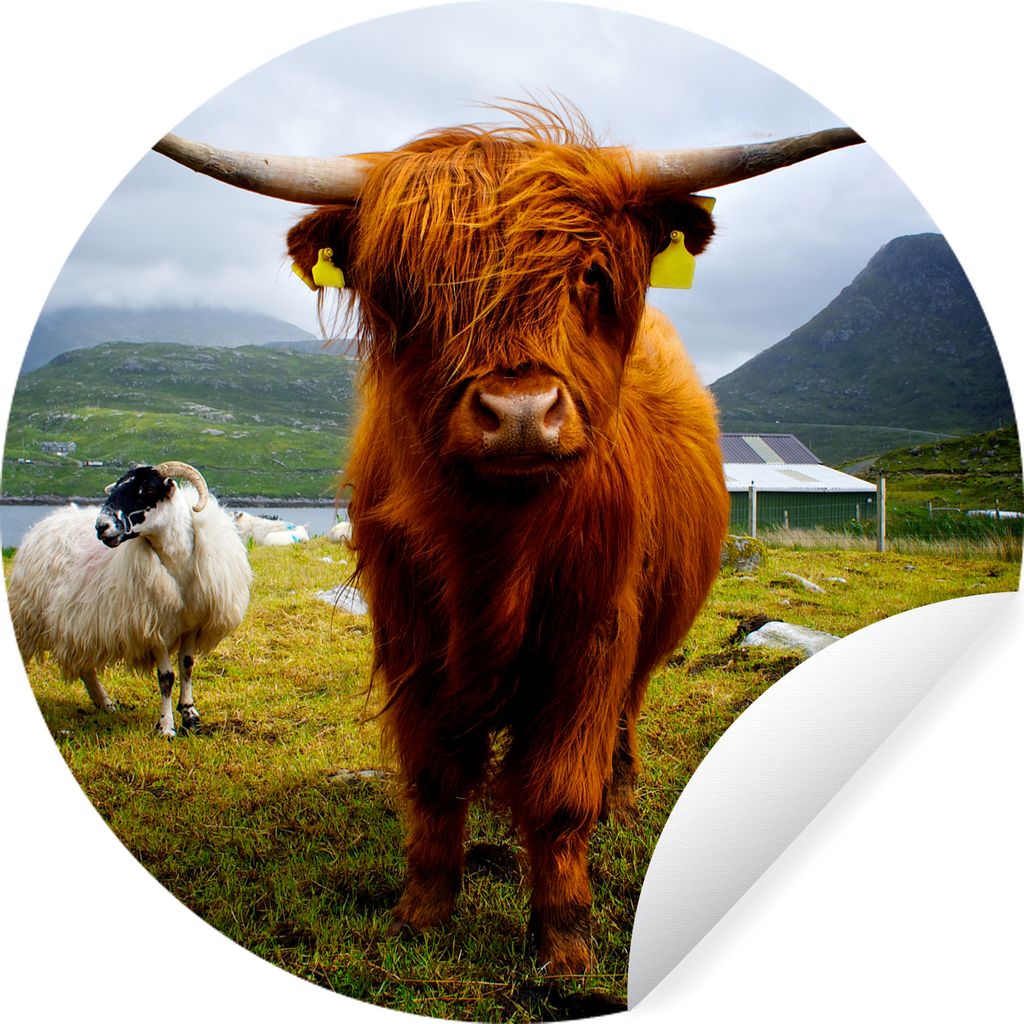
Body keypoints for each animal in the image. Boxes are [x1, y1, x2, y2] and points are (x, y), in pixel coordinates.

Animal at [8, 461, 252, 738]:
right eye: (115, 488)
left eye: (147, 489)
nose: (101, 526)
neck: (177, 563)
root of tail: (48, 521)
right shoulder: (154, 626)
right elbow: (166, 677)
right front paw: (166, 727)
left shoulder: (192, 624)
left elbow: (187, 666)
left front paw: (190, 716)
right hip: (31, 618)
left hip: (77, 622)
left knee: (85, 666)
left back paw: (105, 703)